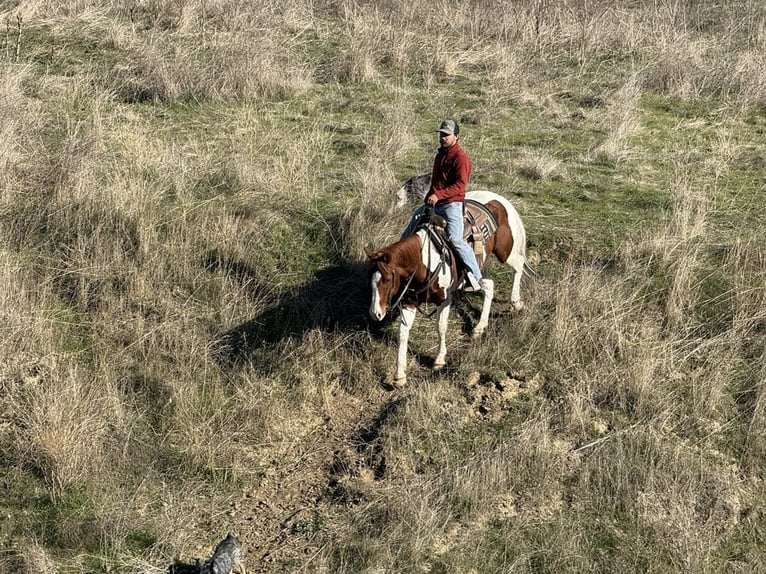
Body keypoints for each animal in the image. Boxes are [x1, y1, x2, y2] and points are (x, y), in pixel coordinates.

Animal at [365, 191, 528, 387]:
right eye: (369, 278)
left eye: (388, 279)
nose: (375, 314)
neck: (423, 261)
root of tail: (499, 200)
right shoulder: (408, 302)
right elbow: (403, 334)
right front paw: (399, 375)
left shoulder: (445, 299)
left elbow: (441, 327)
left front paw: (439, 360)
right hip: (480, 265)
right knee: (489, 286)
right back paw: (480, 327)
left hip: (505, 252)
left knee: (519, 265)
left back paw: (516, 303)